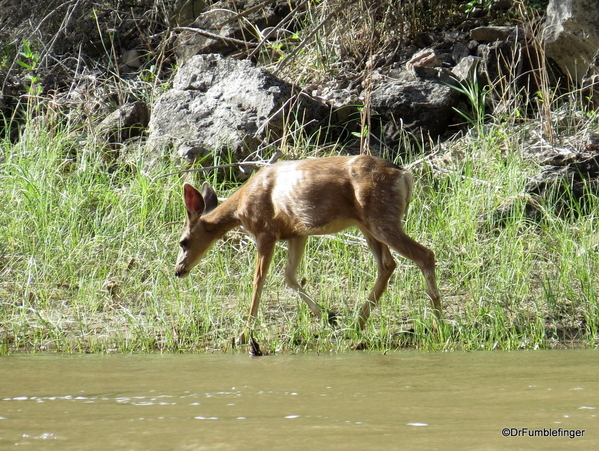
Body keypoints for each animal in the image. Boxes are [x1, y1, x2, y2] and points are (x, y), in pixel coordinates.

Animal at [173, 155, 440, 346]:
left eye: (183, 242)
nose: (178, 270)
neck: (240, 207)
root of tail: (404, 175)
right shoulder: (297, 233)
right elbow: (289, 277)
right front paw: (327, 316)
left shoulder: (265, 231)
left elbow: (258, 280)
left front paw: (243, 334)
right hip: (367, 224)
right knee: (387, 264)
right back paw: (357, 323)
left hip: (381, 218)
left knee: (425, 255)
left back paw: (439, 322)